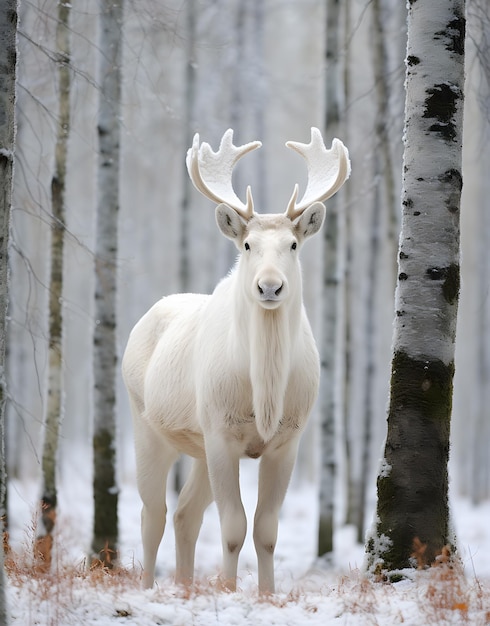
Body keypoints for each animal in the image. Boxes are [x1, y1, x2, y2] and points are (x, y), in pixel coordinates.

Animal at [122, 125, 352, 588]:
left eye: (294, 244)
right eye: (246, 244)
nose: (270, 286)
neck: (265, 390)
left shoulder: (288, 440)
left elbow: (265, 531)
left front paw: (265, 594)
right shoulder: (221, 433)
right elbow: (233, 528)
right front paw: (228, 590)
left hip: (196, 447)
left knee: (185, 513)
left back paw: (184, 586)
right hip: (147, 425)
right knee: (153, 514)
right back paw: (149, 586)